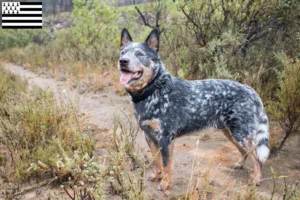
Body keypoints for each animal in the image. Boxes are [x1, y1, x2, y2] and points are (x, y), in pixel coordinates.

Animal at [117, 27, 270, 191]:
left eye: (139, 54)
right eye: (123, 52)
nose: (123, 61)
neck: (154, 90)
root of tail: (251, 90)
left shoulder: (166, 139)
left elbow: (166, 165)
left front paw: (165, 183)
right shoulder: (149, 136)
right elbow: (156, 162)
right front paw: (156, 176)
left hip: (241, 134)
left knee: (257, 158)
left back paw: (256, 179)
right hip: (231, 133)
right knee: (244, 152)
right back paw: (239, 165)